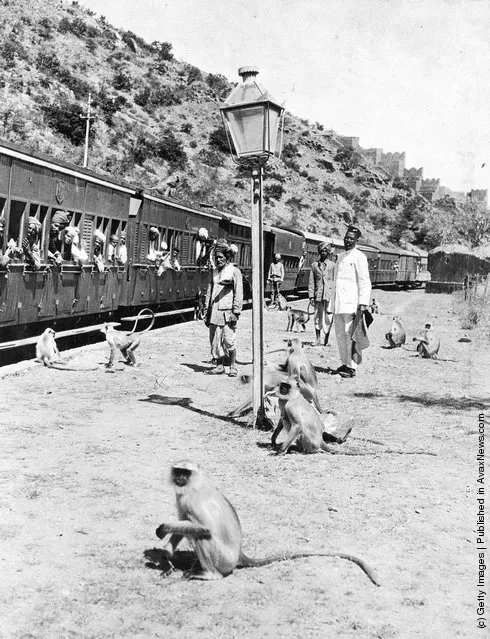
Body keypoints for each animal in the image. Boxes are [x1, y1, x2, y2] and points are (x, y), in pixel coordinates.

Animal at [153, 460, 378, 584]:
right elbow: (181, 525)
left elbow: (202, 527)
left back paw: (210, 575)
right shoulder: (181, 498)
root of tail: (239, 553)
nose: (180, 478)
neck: (194, 485)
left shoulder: (190, 500)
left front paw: (163, 529)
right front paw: (168, 556)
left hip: (224, 559)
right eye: (178, 471)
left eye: (186, 472)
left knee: (201, 534)